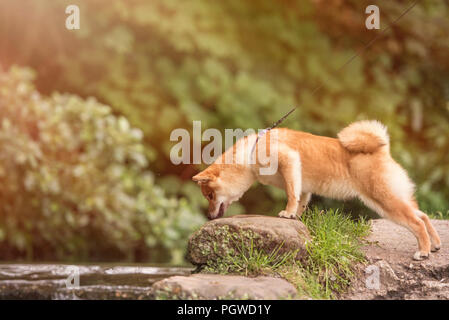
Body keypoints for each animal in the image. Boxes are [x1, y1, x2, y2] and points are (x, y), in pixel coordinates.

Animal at [191, 120, 440, 260]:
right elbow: (300, 201)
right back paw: (436, 244)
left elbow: (291, 195)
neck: (251, 153)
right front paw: (295, 217)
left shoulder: (289, 161)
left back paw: (423, 251)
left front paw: (287, 212)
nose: (208, 216)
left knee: (416, 222)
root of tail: (382, 151)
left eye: (210, 195)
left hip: (385, 201)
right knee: (423, 215)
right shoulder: (303, 186)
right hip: (394, 198)